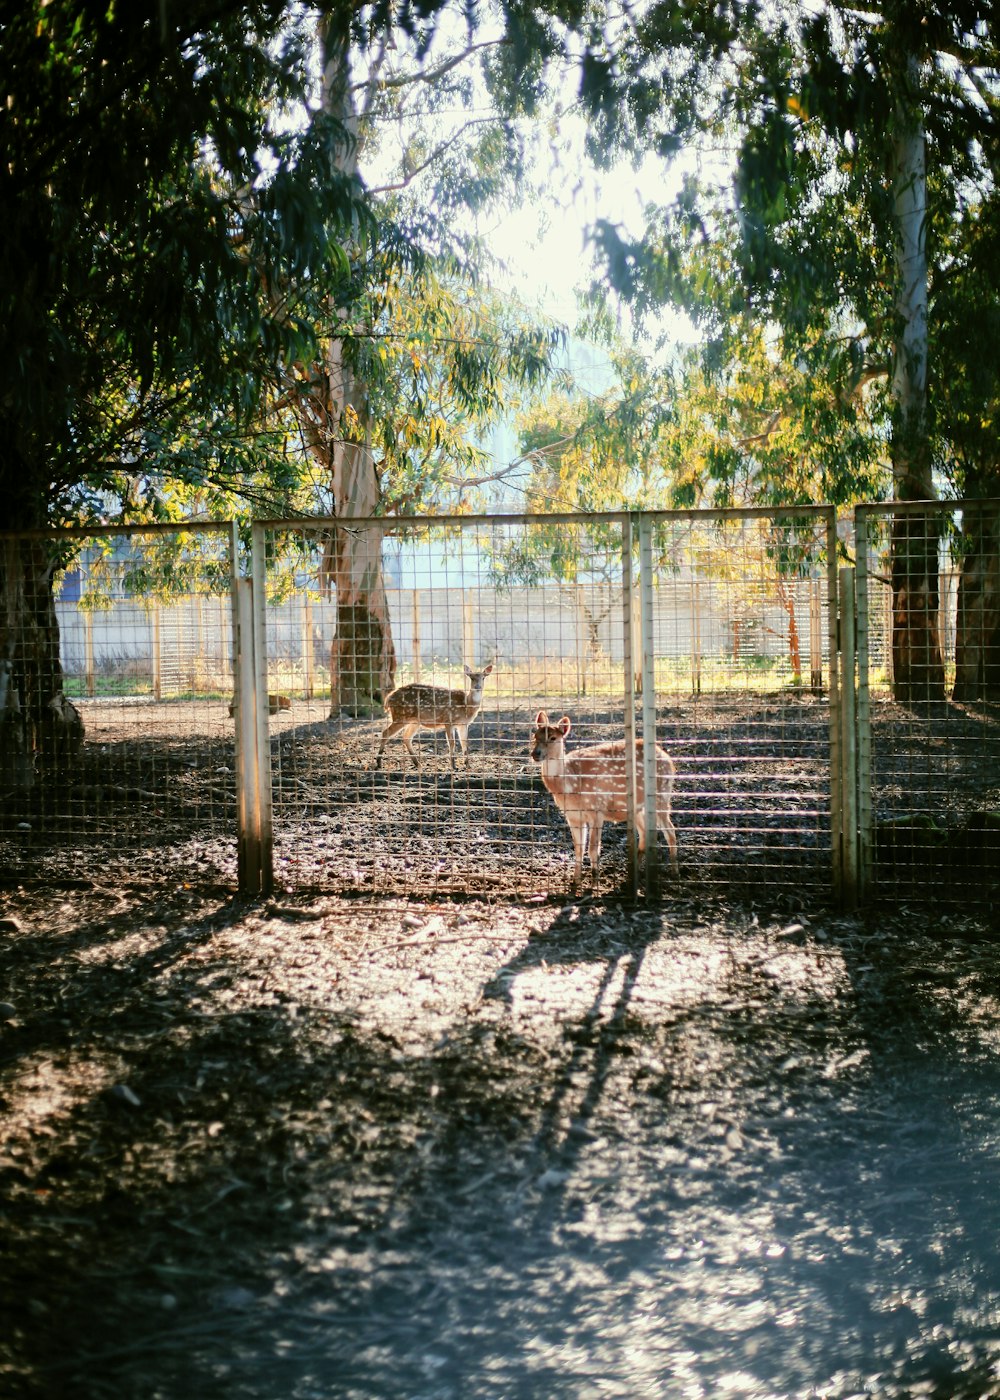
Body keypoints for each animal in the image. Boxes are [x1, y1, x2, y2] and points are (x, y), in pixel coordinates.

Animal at [526, 711, 675, 896]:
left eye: (553, 738)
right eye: (535, 736)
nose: (536, 753)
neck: (570, 785)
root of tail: (667, 758)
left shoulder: (597, 809)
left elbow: (593, 848)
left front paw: (594, 884)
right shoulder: (572, 816)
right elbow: (578, 848)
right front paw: (575, 882)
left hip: (662, 794)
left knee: (670, 831)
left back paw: (674, 873)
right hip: (639, 808)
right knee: (645, 835)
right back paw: (632, 876)